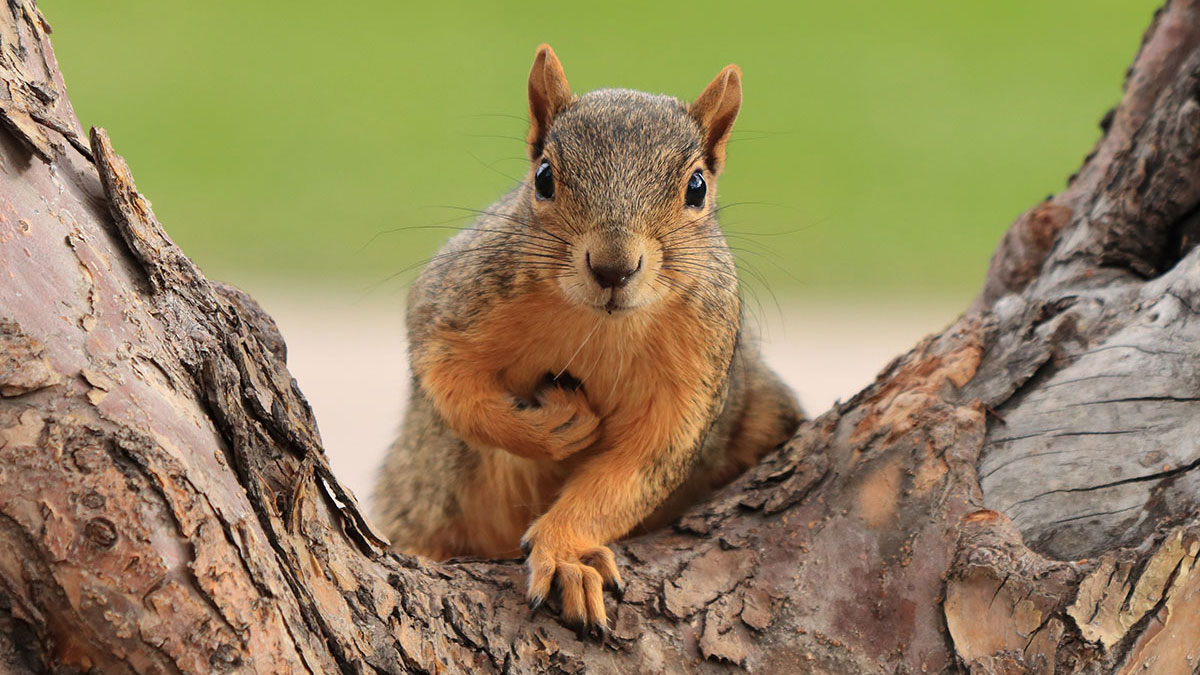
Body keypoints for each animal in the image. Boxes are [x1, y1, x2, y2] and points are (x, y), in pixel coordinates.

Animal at [372, 44, 806, 634]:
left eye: (697, 188)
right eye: (543, 178)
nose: (613, 268)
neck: (599, 326)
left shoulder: (696, 373)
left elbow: (634, 472)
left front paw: (566, 554)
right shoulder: (454, 303)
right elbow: (450, 386)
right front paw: (551, 427)